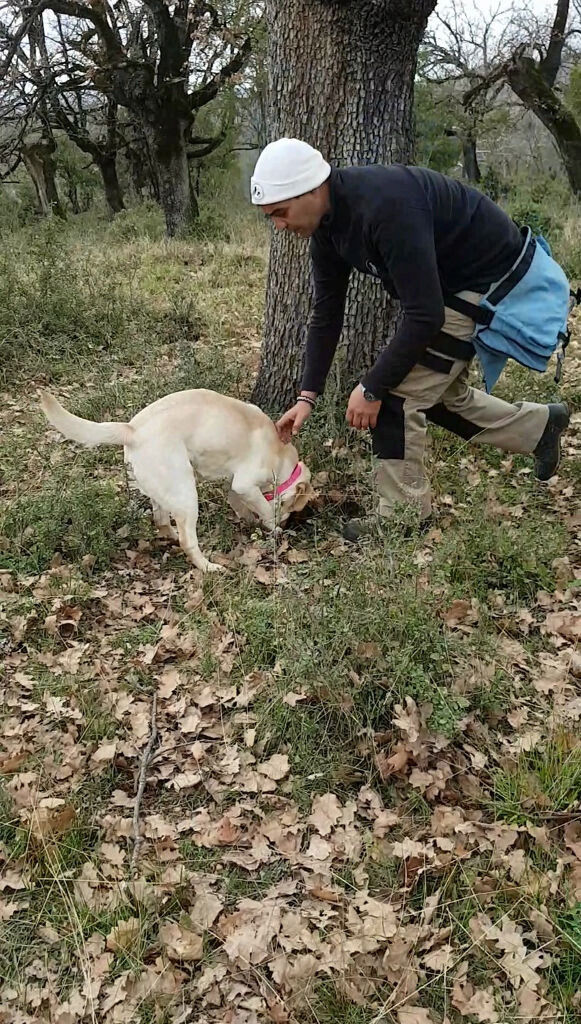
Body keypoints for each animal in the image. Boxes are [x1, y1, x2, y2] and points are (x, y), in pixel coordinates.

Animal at [39, 387, 313, 573]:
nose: (290, 524)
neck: (280, 454)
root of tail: (132, 431)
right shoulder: (245, 483)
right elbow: (265, 507)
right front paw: (274, 526)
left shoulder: (235, 484)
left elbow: (238, 502)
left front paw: (250, 520)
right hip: (186, 492)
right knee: (187, 540)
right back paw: (209, 567)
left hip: (163, 490)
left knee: (161, 520)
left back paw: (170, 535)